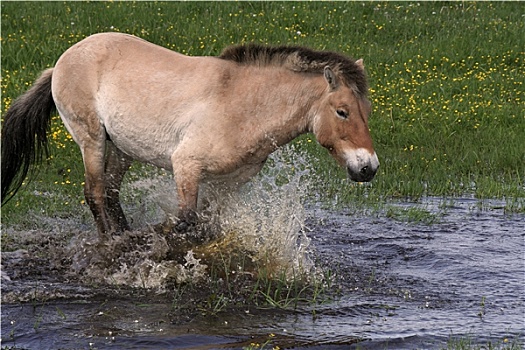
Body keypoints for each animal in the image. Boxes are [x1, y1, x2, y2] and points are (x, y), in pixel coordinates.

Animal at [0, 32, 378, 238]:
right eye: (342, 111)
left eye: (367, 111)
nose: (368, 168)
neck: (241, 105)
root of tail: (61, 62)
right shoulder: (186, 166)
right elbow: (184, 221)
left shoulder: (228, 182)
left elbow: (207, 224)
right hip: (90, 139)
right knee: (94, 194)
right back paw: (112, 243)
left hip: (122, 149)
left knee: (108, 192)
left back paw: (124, 236)